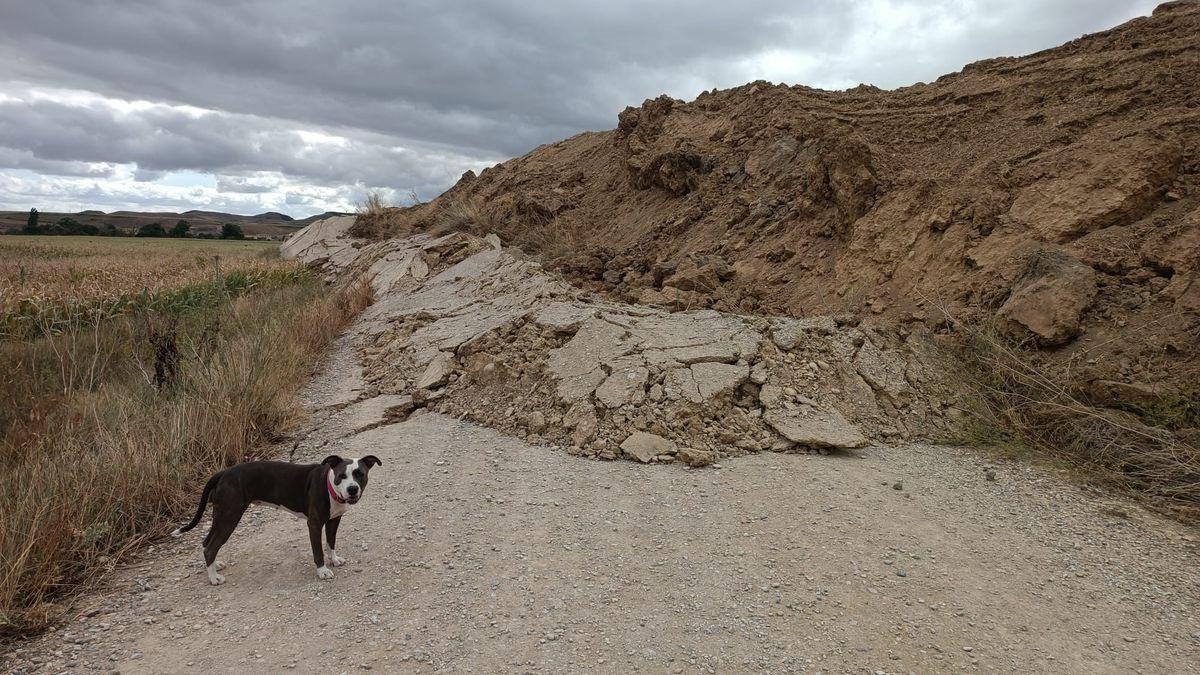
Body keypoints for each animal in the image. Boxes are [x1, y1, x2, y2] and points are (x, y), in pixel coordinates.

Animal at [171, 454, 379, 581]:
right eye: (341, 476)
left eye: (360, 474)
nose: (352, 489)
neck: (329, 486)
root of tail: (224, 472)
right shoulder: (314, 524)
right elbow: (318, 550)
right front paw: (322, 571)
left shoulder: (334, 521)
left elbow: (330, 543)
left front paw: (334, 560)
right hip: (230, 516)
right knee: (211, 547)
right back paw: (214, 578)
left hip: (220, 515)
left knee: (207, 542)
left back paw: (215, 566)